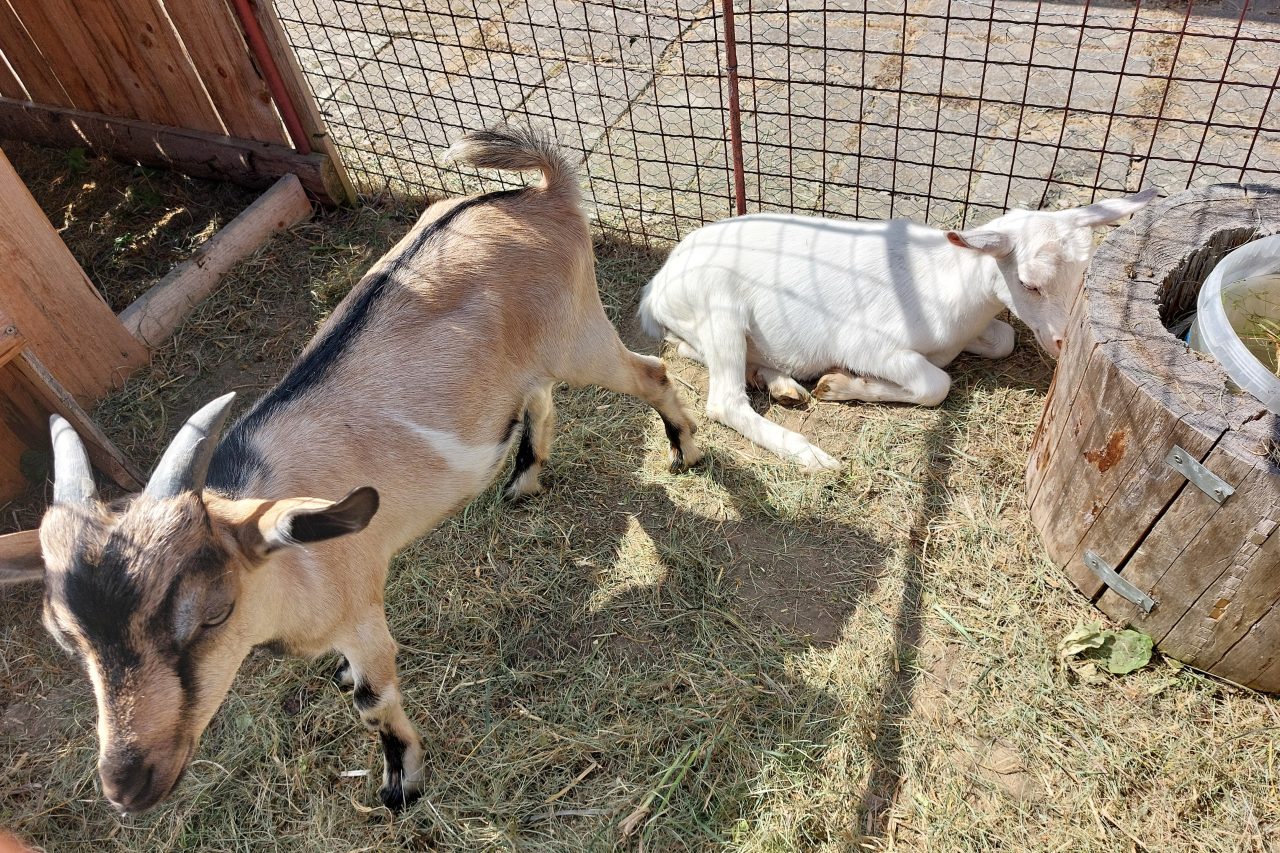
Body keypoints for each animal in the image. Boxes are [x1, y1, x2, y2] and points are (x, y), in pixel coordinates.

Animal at [0, 127, 700, 814]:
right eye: (65, 637)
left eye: (213, 613)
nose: (127, 787)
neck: (286, 561)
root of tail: (545, 194)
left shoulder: (360, 608)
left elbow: (371, 702)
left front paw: (402, 786)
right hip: (527, 362)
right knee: (539, 396)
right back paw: (523, 482)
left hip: (578, 333)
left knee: (651, 372)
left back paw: (684, 452)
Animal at [637, 190, 1156, 470]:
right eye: (1029, 283)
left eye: (1085, 276)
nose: (1064, 343)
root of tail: (657, 286)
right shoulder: (865, 341)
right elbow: (936, 384)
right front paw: (839, 384)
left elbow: (1005, 340)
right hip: (719, 302)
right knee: (722, 398)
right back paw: (810, 453)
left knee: (689, 349)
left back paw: (780, 383)